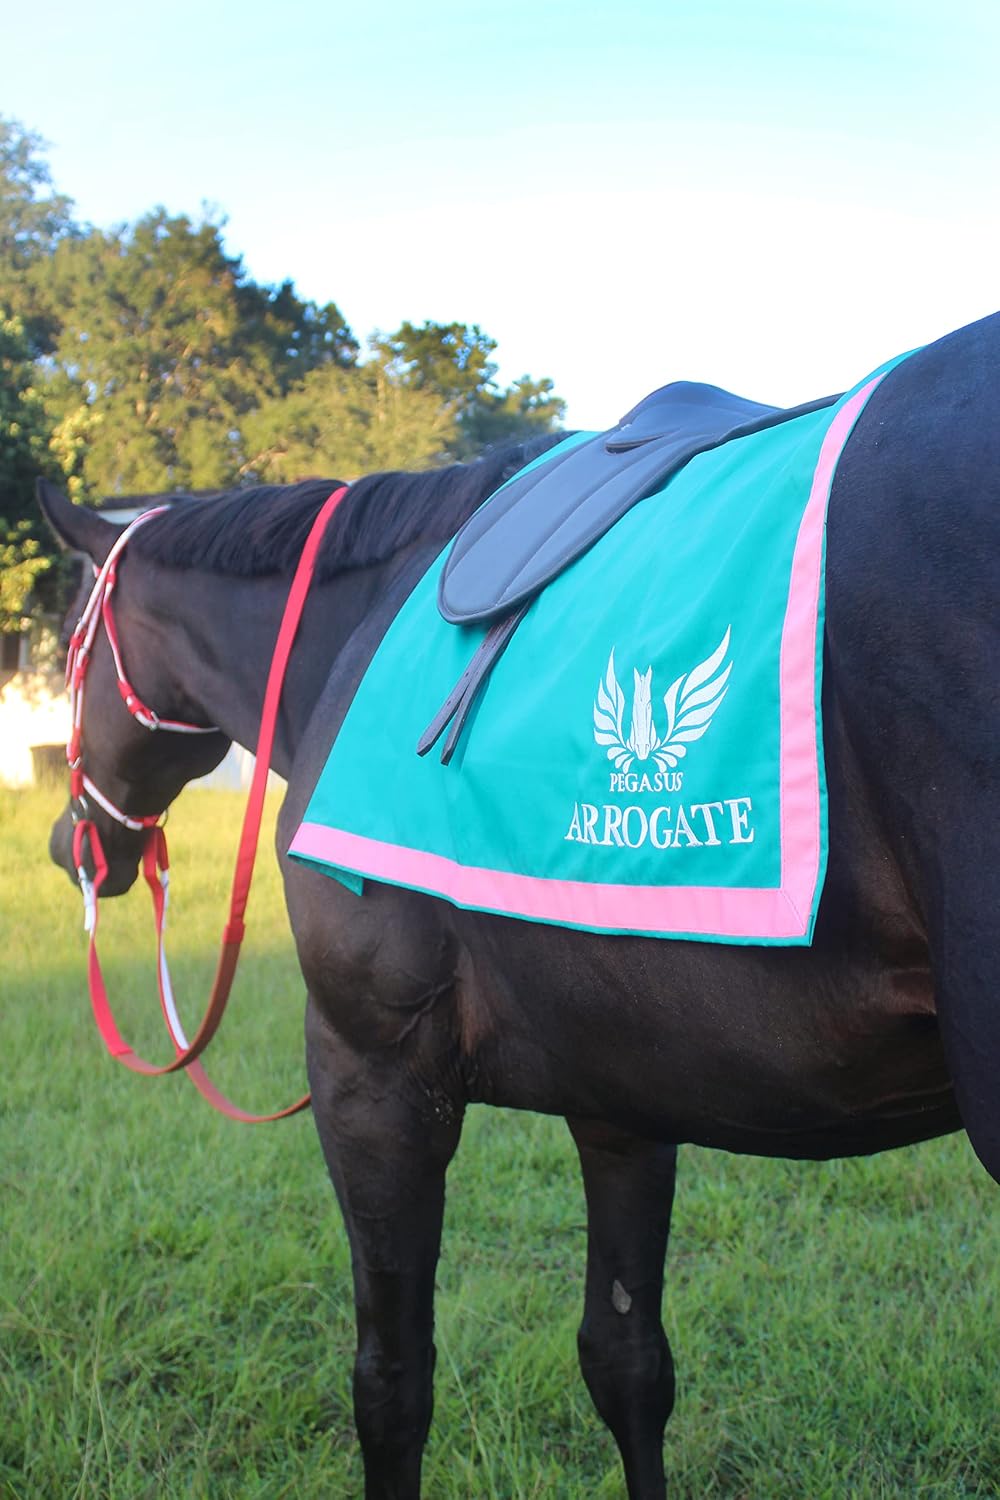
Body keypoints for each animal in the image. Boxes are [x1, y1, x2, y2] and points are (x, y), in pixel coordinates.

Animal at [39, 309, 1000, 1500]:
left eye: (69, 640)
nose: (72, 845)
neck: (356, 627)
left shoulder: (373, 1079)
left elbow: (391, 1383)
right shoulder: (624, 1091)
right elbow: (627, 1361)